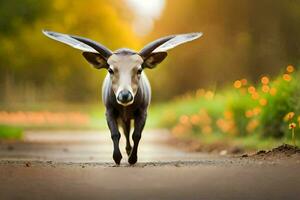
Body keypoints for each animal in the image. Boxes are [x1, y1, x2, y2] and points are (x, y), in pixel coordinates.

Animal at [42, 30, 202, 164]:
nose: (125, 95)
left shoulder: (143, 111)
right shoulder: (109, 111)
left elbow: (136, 134)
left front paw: (132, 159)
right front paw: (117, 158)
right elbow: (115, 134)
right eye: (110, 70)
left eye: (139, 69)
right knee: (124, 131)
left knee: (128, 131)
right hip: (122, 117)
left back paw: (129, 151)